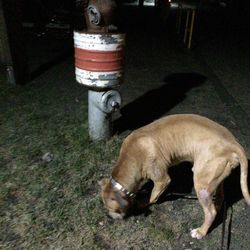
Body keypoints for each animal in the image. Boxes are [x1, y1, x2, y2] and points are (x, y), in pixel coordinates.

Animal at [98, 113, 249, 238]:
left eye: (113, 209)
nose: (108, 217)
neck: (132, 156)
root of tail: (233, 143)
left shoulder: (162, 180)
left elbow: (152, 197)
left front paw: (141, 203)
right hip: (214, 179)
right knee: (219, 200)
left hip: (202, 186)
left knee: (210, 211)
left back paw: (201, 232)